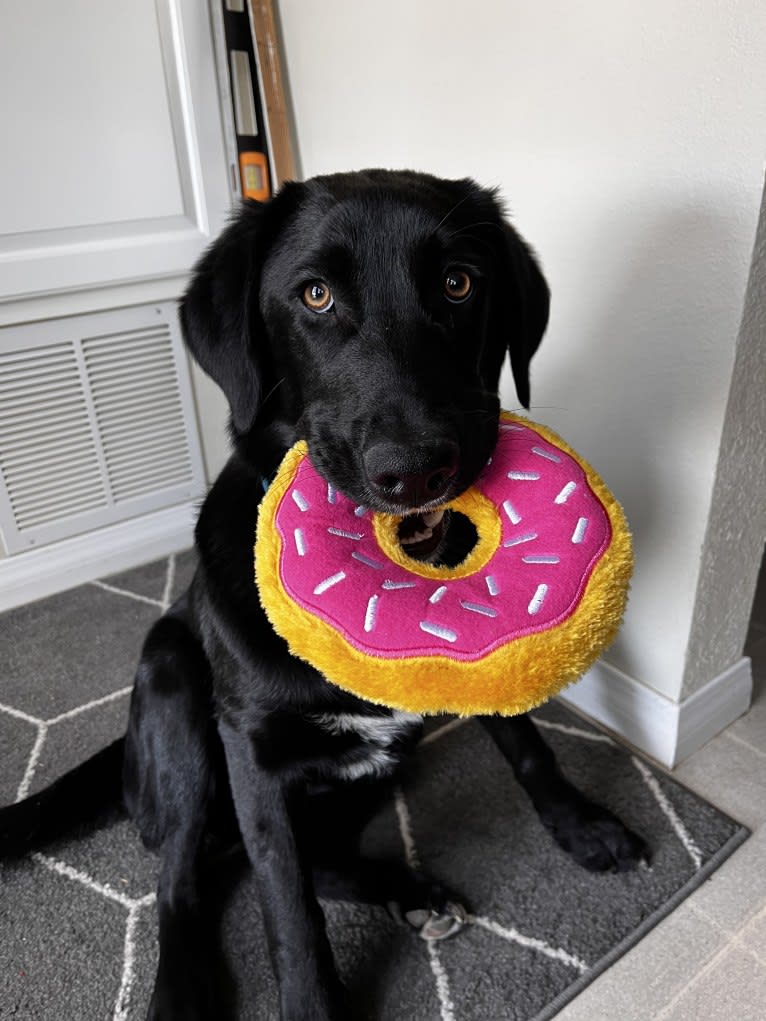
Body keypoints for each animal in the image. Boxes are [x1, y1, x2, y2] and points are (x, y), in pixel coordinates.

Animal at [0, 171, 649, 1016]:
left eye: (459, 281)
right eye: (315, 295)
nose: (415, 470)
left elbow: (528, 744)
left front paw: (582, 825)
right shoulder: (253, 756)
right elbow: (287, 901)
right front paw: (313, 1003)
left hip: (372, 772)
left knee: (305, 856)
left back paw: (411, 890)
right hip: (174, 682)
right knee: (186, 872)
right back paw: (181, 987)